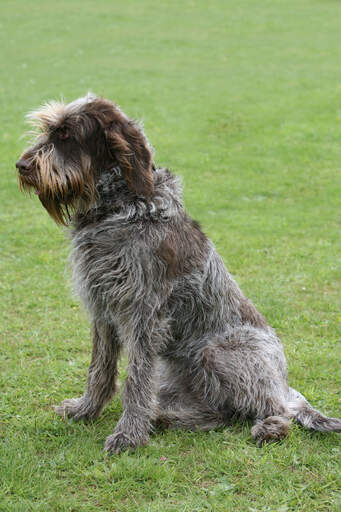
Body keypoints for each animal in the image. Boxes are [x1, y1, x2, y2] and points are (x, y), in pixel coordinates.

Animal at [16, 94, 340, 454]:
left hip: (217, 353)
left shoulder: (145, 314)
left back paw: (270, 427)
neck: (117, 207)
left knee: (275, 409)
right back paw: (168, 418)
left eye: (67, 135)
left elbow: (136, 380)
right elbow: (99, 369)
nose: (22, 165)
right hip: (174, 376)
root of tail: (284, 385)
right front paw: (85, 410)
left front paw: (128, 435)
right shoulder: (102, 309)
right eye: (49, 130)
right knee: (223, 412)